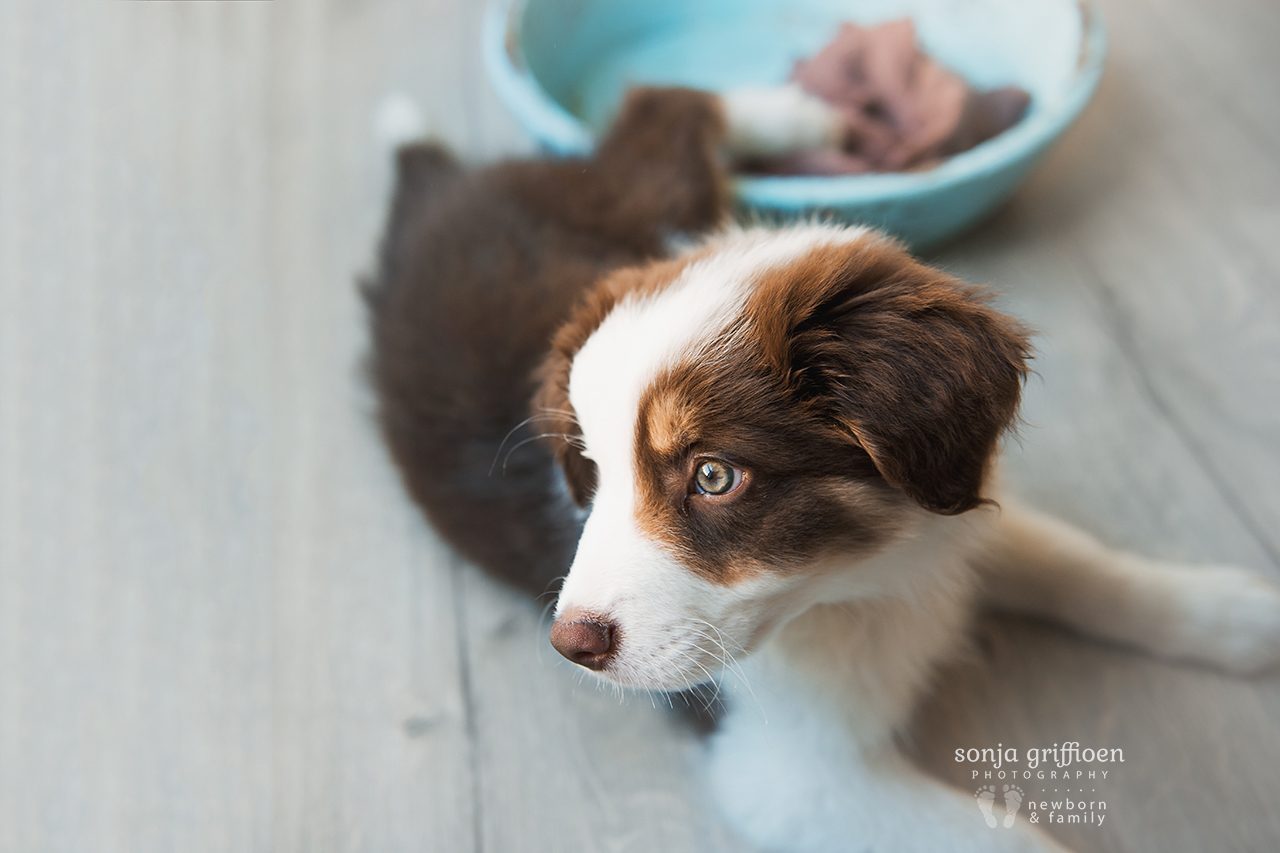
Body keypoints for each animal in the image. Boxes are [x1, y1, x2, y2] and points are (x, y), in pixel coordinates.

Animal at [366, 86, 1280, 850]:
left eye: (713, 476)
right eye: (590, 470)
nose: (570, 646)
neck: (854, 584)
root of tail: (438, 197)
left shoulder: (946, 513)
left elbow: (1077, 562)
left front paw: (1239, 615)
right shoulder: (794, 774)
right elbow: (1010, 839)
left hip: (652, 201)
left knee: (660, 108)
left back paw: (804, 116)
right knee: (657, 109)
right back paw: (803, 114)